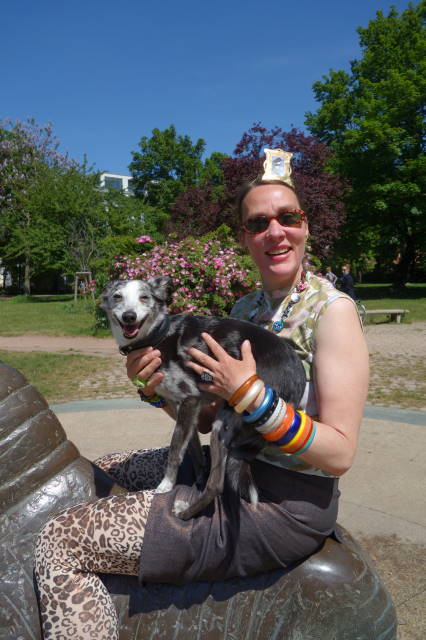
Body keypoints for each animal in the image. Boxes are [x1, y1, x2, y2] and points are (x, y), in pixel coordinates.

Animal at [101, 276, 306, 520]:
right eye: (117, 296)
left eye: (144, 297)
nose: (129, 316)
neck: (158, 337)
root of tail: (297, 386)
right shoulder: (185, 409)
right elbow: (192, 450)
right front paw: (196, 479)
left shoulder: (189, 398)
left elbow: (174, 450)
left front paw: (166, 485)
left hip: (223, 425)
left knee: (216, 485)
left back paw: (184, 513)